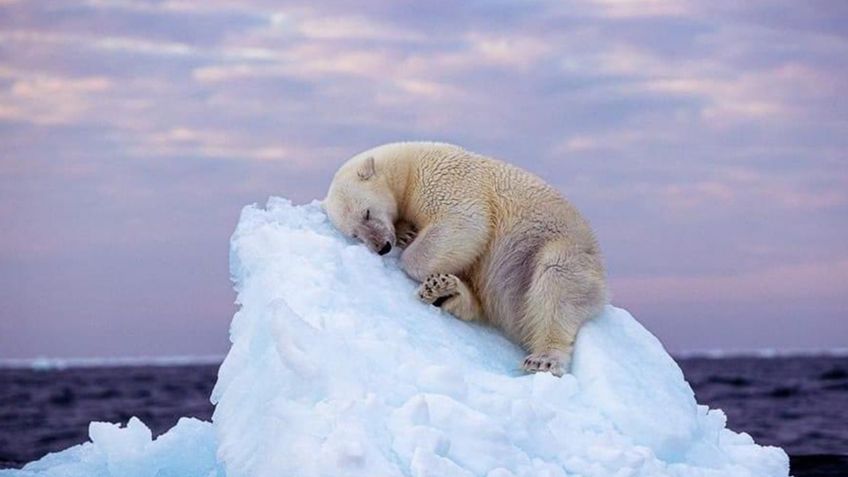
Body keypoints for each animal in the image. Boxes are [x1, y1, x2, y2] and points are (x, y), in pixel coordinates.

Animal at [322, 141, 608, 376]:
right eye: (355, 234)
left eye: (367, 213)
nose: (382, 246)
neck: (408, 166)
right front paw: (406, 233)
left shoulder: (443, 179)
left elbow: (465, 222)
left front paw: (410, 250)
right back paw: (445, 291)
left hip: (558, 248)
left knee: (556, 284)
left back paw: (544, 358)